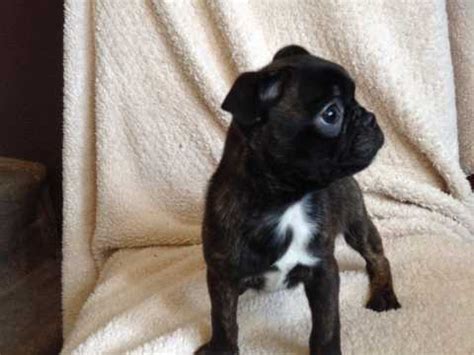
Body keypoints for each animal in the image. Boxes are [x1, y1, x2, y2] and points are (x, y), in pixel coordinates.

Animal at [196, 46, 400, 354]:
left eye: (355, 98)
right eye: (331, 114)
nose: (370, 118)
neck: (288, 203)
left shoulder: (323, 270)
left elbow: (326, 323)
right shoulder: (222, 274)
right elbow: (222, 318)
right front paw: (221, 348)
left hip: (357, 223)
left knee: (377, 257)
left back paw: (383, 293)